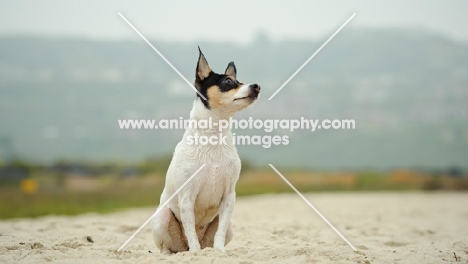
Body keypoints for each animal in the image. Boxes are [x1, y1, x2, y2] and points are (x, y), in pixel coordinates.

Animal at [152, 48, 260, 254]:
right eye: (228, 82)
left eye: (240, 81)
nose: (256, 86)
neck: (213, 137)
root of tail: (182, 247)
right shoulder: (187, 198)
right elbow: (191, 232)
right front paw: (195, 253)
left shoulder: (229, 197)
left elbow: (220, 231)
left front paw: (220, 251)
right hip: (162, 218)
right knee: (168, 246)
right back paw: (178, 252)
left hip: (229, 227)